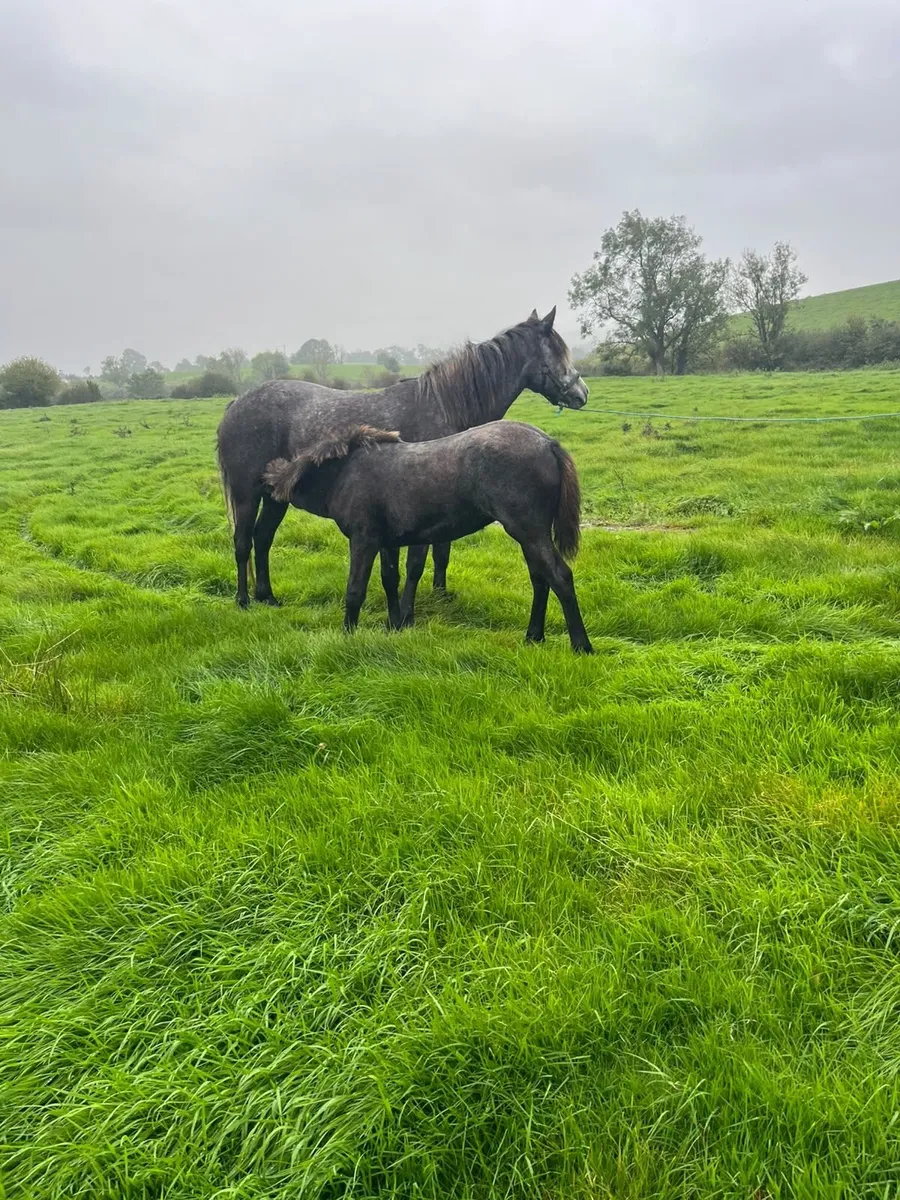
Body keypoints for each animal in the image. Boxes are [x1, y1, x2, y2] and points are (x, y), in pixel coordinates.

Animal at [216, 307, 587, 609]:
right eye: (558, 352)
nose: (582, 394)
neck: (445, 404)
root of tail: (236, 403)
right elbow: (416, 563)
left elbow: (441, 552)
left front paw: (440, 595)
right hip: (247, 494)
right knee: (243, 542)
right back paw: (244, 600)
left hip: (275, 497)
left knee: (263, 539)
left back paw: (268, 597)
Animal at [262, 421, 593, 654]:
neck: (344, 473)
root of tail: (547, 442)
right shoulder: (387, 543)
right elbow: (390, 580)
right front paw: (394, 625)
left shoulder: (363, 540)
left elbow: (355, 589)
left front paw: (347, 635)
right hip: (530, 535)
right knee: (540, 578)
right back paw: (533, 636)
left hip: (528, 530)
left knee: (559, 576)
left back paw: (582, 646)